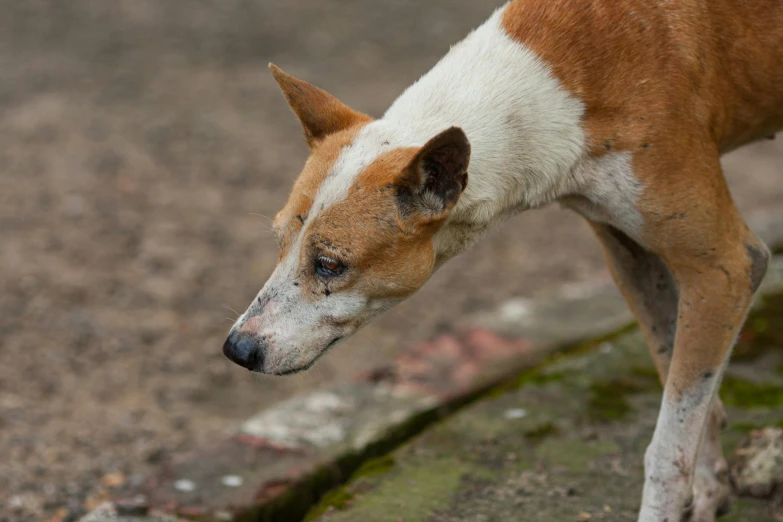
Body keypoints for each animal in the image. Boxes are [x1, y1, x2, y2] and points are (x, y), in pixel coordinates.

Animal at [222, 2, 783, 516]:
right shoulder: (631, 254)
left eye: (330, 265)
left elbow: (667, 449)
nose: (237, 350)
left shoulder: (727, 266)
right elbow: (684, 391)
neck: (555, 85)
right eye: (279, 242)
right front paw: (710, 489)